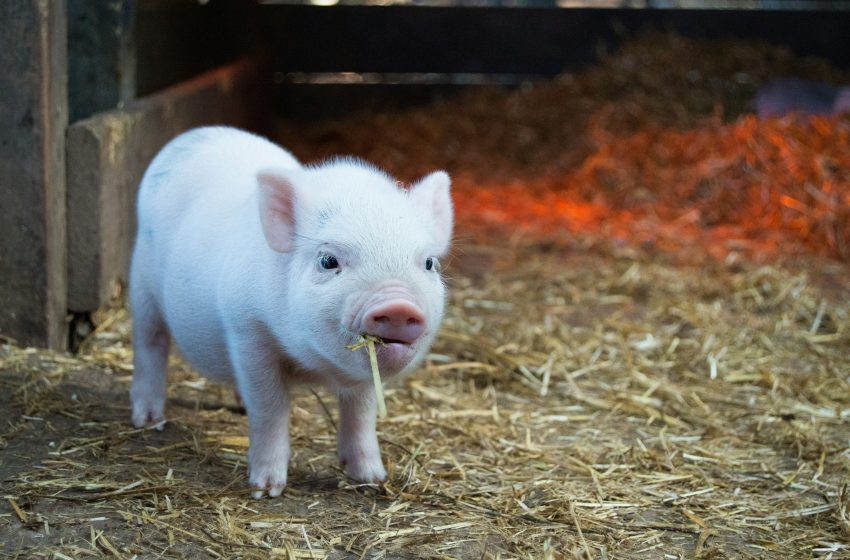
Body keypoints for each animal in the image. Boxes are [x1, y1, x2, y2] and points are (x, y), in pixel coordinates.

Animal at [129, 126, 452, 498]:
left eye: (428, 263)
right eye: (328, 260)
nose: (398, 305)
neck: (314, 365)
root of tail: (195, 134)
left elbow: (361, 412)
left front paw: (372, 479)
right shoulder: (247, 332)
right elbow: (270, 408)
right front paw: (266, 490)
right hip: (141, 284)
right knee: (150, 343)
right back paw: (148, 420)